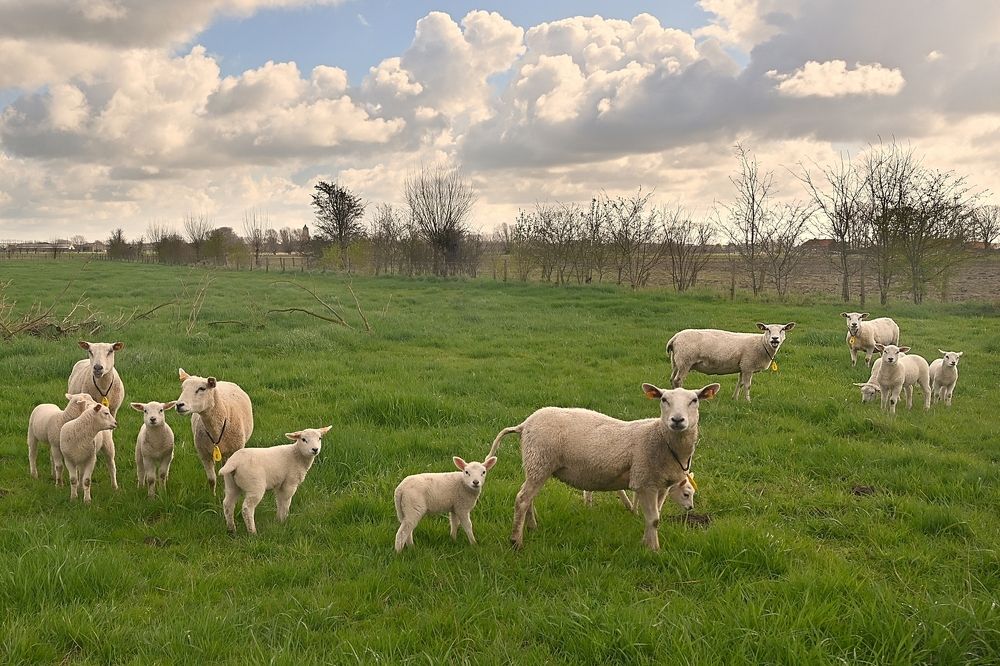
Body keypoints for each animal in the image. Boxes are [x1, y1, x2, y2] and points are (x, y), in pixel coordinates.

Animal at [489, 382, 720, 551]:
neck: (662, 439)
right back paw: (516, 541)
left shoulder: (661, 484)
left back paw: (532, 527)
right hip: (539, 460)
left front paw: (646, 543)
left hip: (537, 465)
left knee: (528, 498)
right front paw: (654, 550)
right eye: (664, 399)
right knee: (522, 499)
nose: (677, 420)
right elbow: (653, 519)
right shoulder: (645, 481)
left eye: (694, 400)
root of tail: (524, 424)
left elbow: (654, 517)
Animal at [666, 323, 795, 402]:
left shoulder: (743, 366)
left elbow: (740, 383)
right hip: (685, 361)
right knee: (678, 380)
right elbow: (747, 385)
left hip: (676, 362)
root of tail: (675, 338)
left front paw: (735, 399)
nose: (775, 339)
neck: (762, 344)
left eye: (782, 329)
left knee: (672, 378)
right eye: (767, 329)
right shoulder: (748, 366)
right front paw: (748, 401)